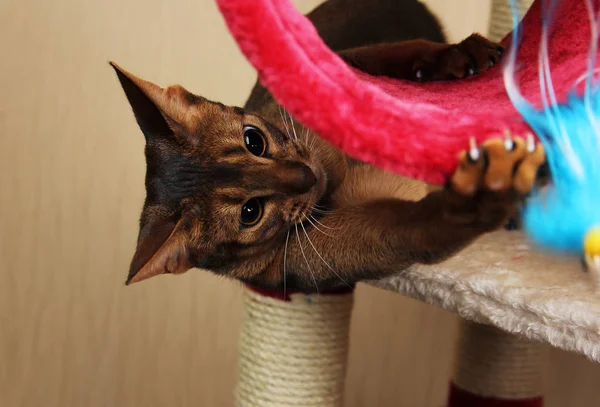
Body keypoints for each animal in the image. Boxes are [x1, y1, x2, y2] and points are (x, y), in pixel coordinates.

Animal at [110, 0, 548, 294]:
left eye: (254, 139)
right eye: (250, 213)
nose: (305, 176)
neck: (334, 169)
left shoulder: (344, 67)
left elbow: (400, 54)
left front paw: (458, 55)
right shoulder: (371, 238)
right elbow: (430, 223)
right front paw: (489, 189)